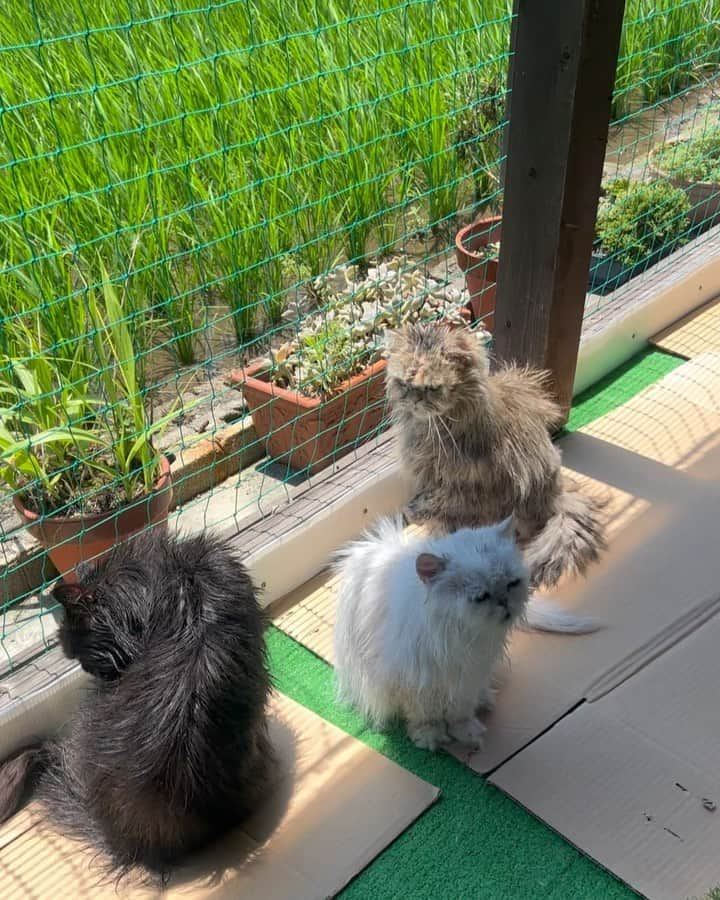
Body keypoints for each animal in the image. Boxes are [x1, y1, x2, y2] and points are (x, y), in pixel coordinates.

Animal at [334, 512, 528, 752]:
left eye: (512, 584)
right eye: (481, 597)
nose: (504, 602)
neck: (461, 636)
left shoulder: (468, 677)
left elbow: (459, 714)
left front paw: (467, 733)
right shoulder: (417, 682)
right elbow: (425, 716)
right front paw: (430, 738)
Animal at [386, 322, 604, 592]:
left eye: (432, 388)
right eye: (404, 384)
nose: (414, 400)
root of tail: (557, 495)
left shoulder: (465, 484)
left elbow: (435, 502)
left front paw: (417, 514)